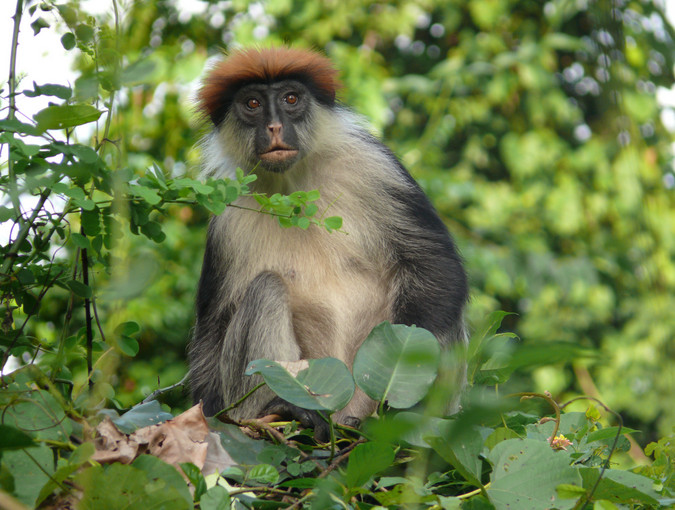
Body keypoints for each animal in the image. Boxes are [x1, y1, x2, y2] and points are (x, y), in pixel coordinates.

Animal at [187, 45, 468, 432]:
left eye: (291, 98)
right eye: (253, 104)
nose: (275, 126)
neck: (293, 188)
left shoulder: (375, 166)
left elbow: (435, 264)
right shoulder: (227, 218)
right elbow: (212, 332)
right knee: (266, 288)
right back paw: (284, 410)